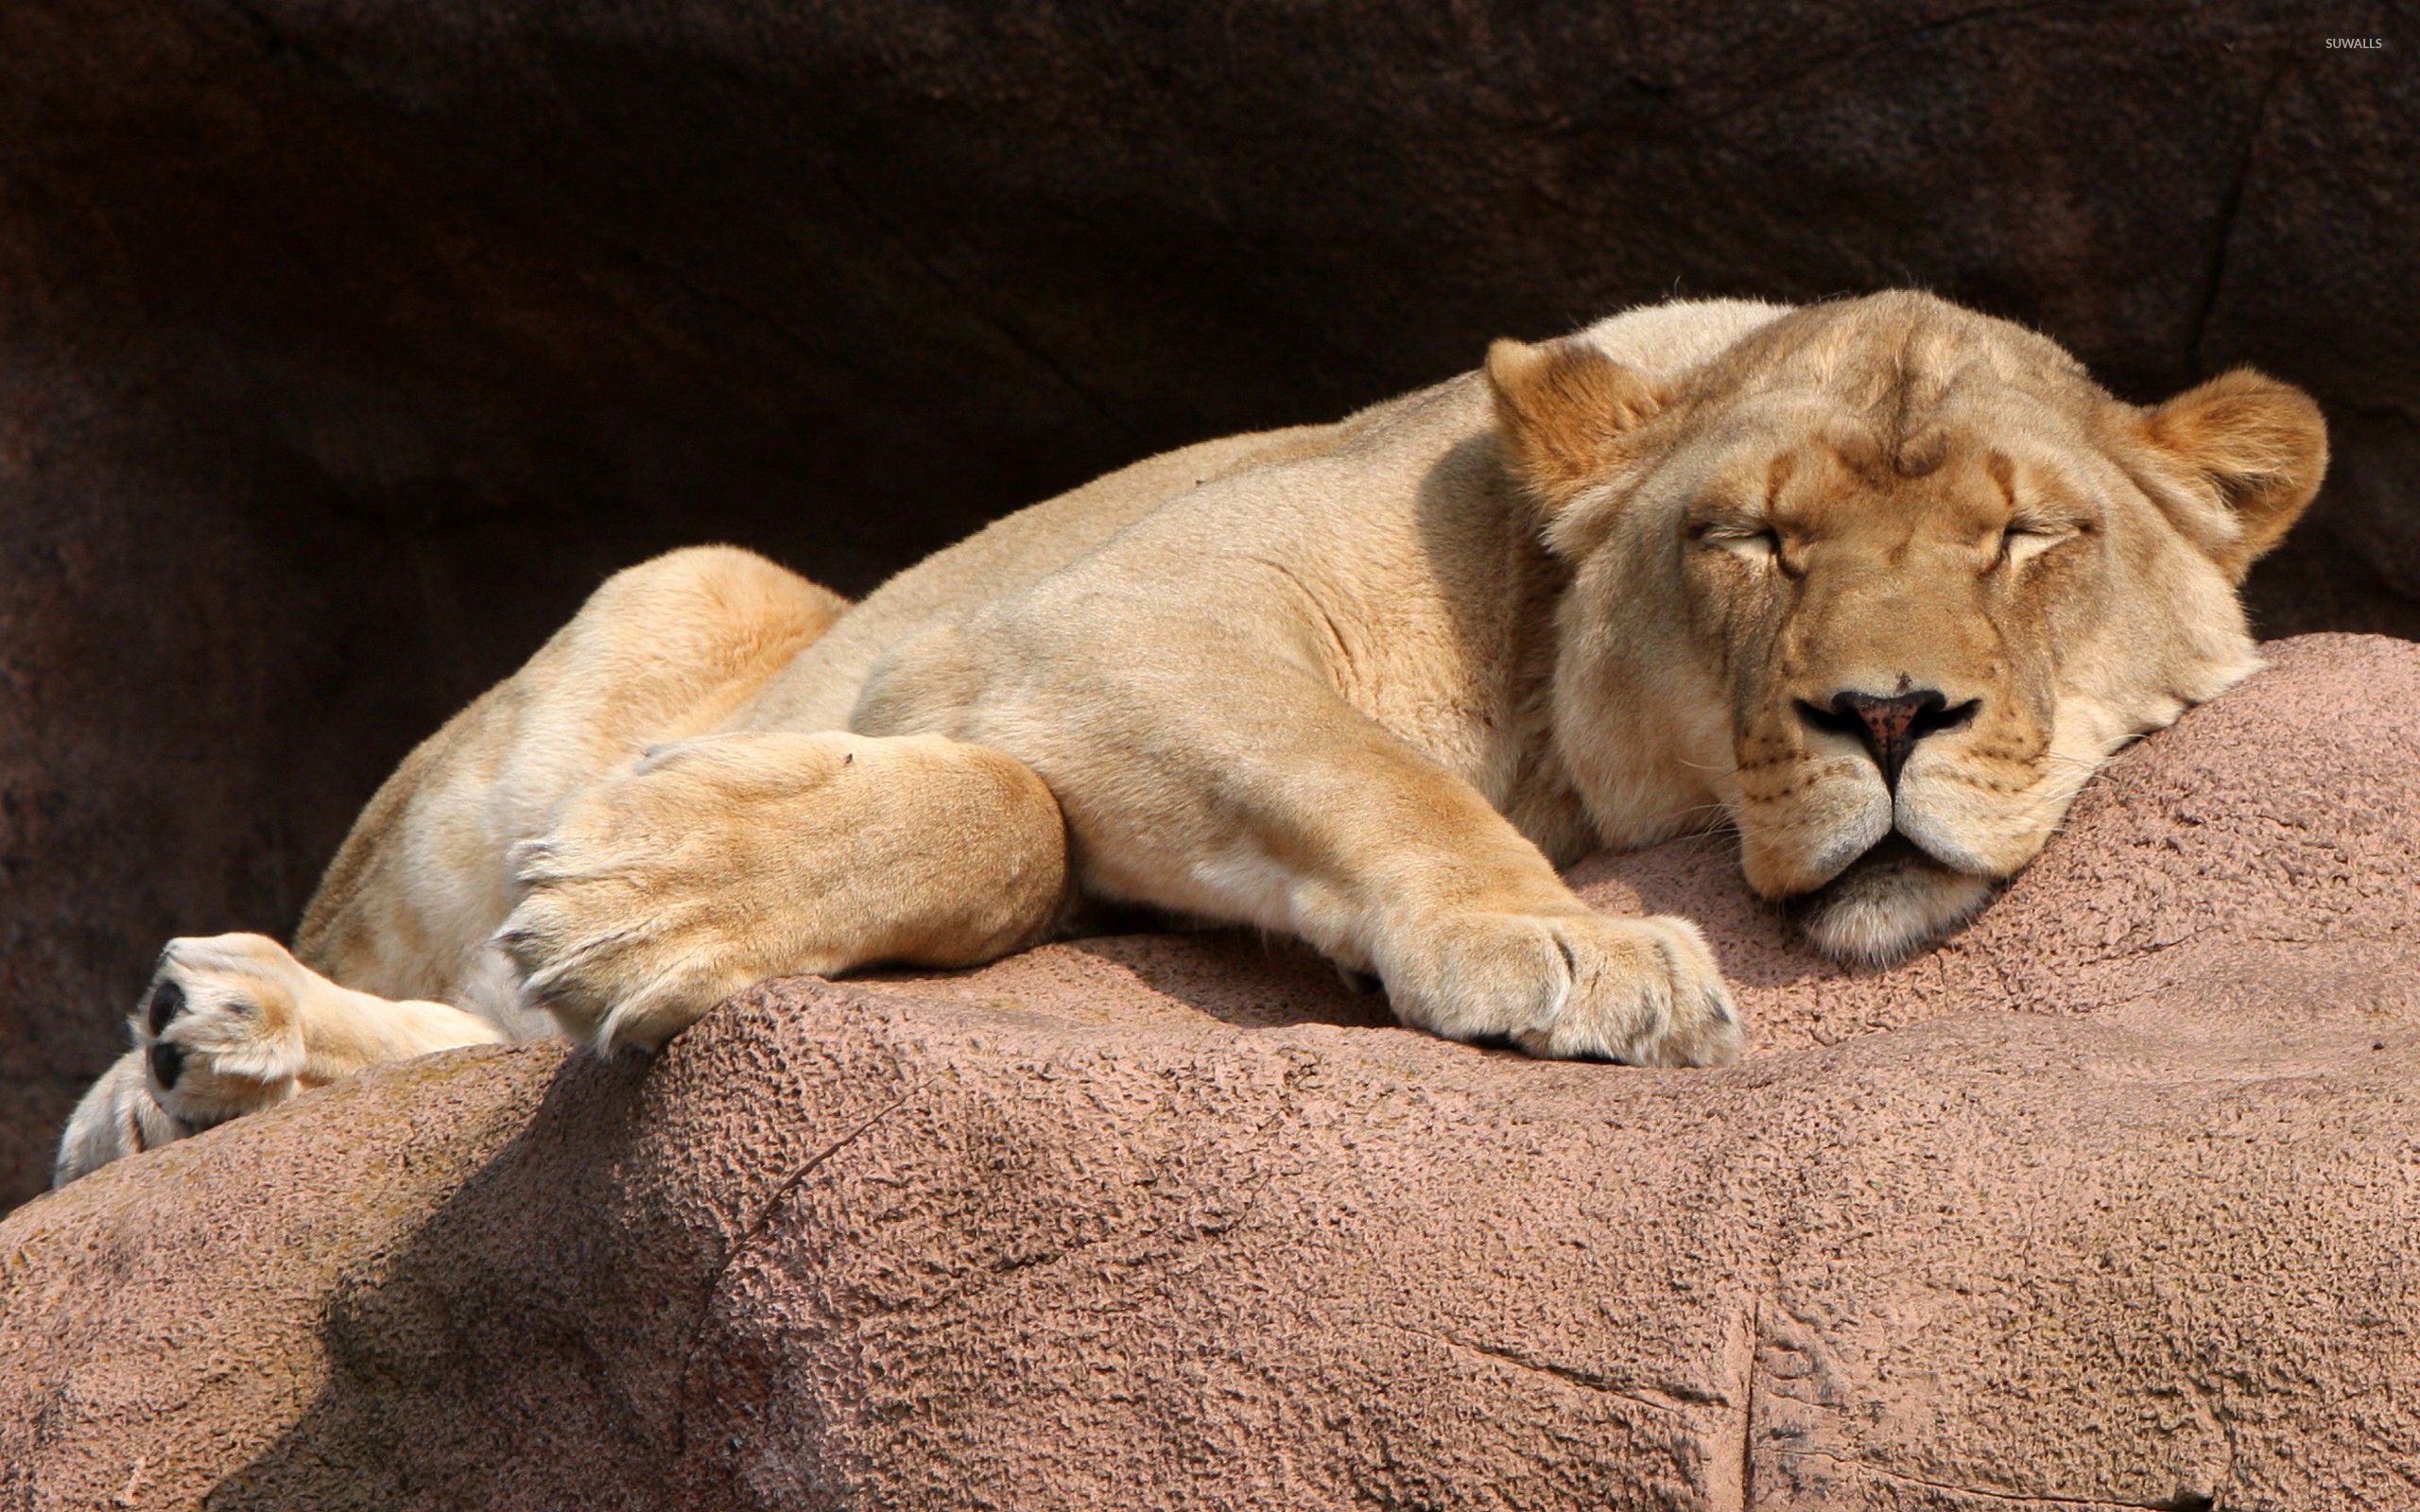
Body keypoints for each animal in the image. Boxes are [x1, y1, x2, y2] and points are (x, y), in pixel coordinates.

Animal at [54, 291, 2328, 1186]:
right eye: (1752, 541)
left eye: (2026, 537)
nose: (1886, 710)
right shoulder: (1123, 609)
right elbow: (1130, 798)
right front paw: (1579, 945)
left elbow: (1020, 827)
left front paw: (651, 893)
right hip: (674, 582)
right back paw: (186, 1050)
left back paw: (217, 1051)